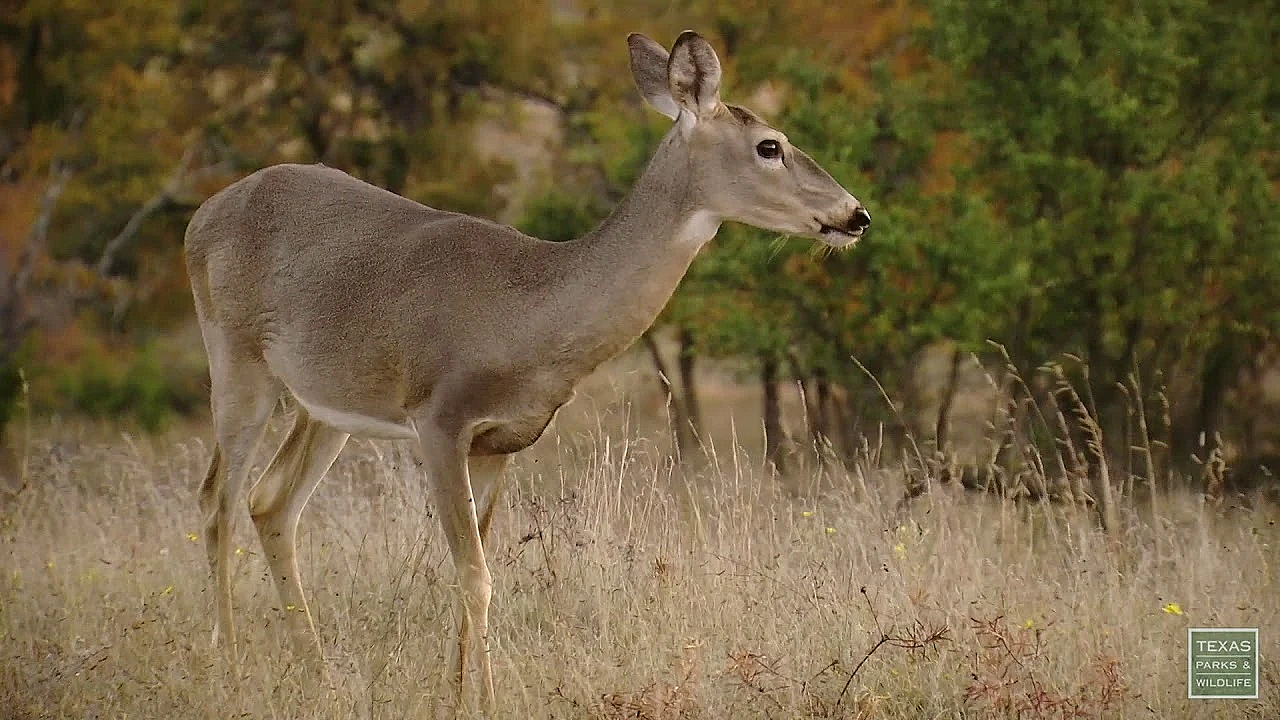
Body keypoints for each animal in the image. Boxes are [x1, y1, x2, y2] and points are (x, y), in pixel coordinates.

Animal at [184, 30, 870, 713]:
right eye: (770, 145)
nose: (855, 214)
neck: (531, 318)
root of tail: (202, 215)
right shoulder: (439, 419)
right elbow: (475, 575)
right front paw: (484, 701)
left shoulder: (500, 443)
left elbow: (474, 572)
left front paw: (459, 694)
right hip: (236, 359)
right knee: (218, 497)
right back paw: (230, 663)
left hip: (325, 404)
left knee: (271, 502)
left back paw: (319, 674)